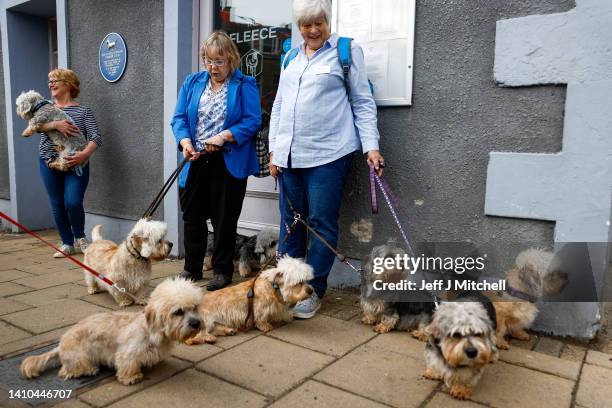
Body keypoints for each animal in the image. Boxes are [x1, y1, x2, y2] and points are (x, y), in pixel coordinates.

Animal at [20, 278, 203, 386]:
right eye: (178, 312)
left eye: (194, 307)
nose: (196, 323)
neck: (151, 331)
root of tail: (60, 345)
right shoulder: (128, 353)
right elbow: (127, 365)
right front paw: (131, 377)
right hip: (80, 358)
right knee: (65, 371)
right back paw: (88, 370)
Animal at [186, 256, 314, 342]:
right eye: (298, 283)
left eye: (305, 280)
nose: (311, 291)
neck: (273, 288)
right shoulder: (260, 310)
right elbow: (261, 319)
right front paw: (265, 326)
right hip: (205, 320)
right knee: (197, 335)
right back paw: (208, 337)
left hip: (214, 322)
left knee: (215, 328)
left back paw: (229, 331)